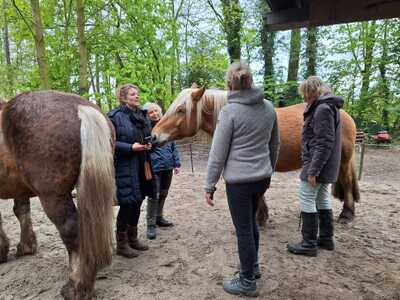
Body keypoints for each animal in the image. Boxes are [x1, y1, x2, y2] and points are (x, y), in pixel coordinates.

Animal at [0, 92, 115, 300]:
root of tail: (80, 108)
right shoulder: (19, 189)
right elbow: (21, 211)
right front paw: (26, 247)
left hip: (53, 196)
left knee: (72, 230)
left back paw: (77, 286)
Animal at [152, 85, 360, 224]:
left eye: (180, 110)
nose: (153, 135)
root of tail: (345, 114)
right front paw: (262, 216)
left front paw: (259, 218)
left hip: (343, 161)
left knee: (347, 182)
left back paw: (346, 214)